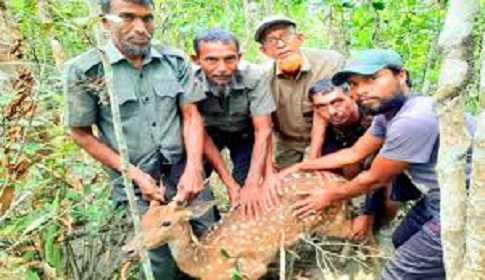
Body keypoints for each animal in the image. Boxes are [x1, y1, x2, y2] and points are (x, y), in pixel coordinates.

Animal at [123, 170, 354, 278]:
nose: (128, 249)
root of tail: (343, 180)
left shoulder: (251, 267)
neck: (203, 262)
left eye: (166, 223)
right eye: (143, 219)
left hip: (329, 218)